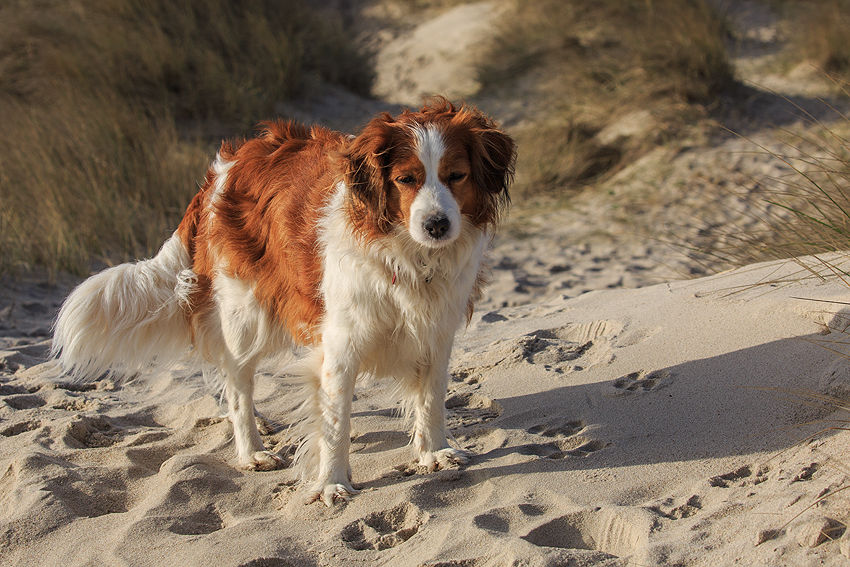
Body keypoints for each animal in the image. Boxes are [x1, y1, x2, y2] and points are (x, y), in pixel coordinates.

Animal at [54, 97, 516, 506]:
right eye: (406, 179)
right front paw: (331, 482)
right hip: (248, 314)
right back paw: (251, 449)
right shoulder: (341, 344)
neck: (406, 252)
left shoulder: (436, 329)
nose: (437, 225)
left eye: (456, 175)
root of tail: (226, 165)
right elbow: (334, 421)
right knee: (236, 383)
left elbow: (432, 398)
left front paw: (433, 452)